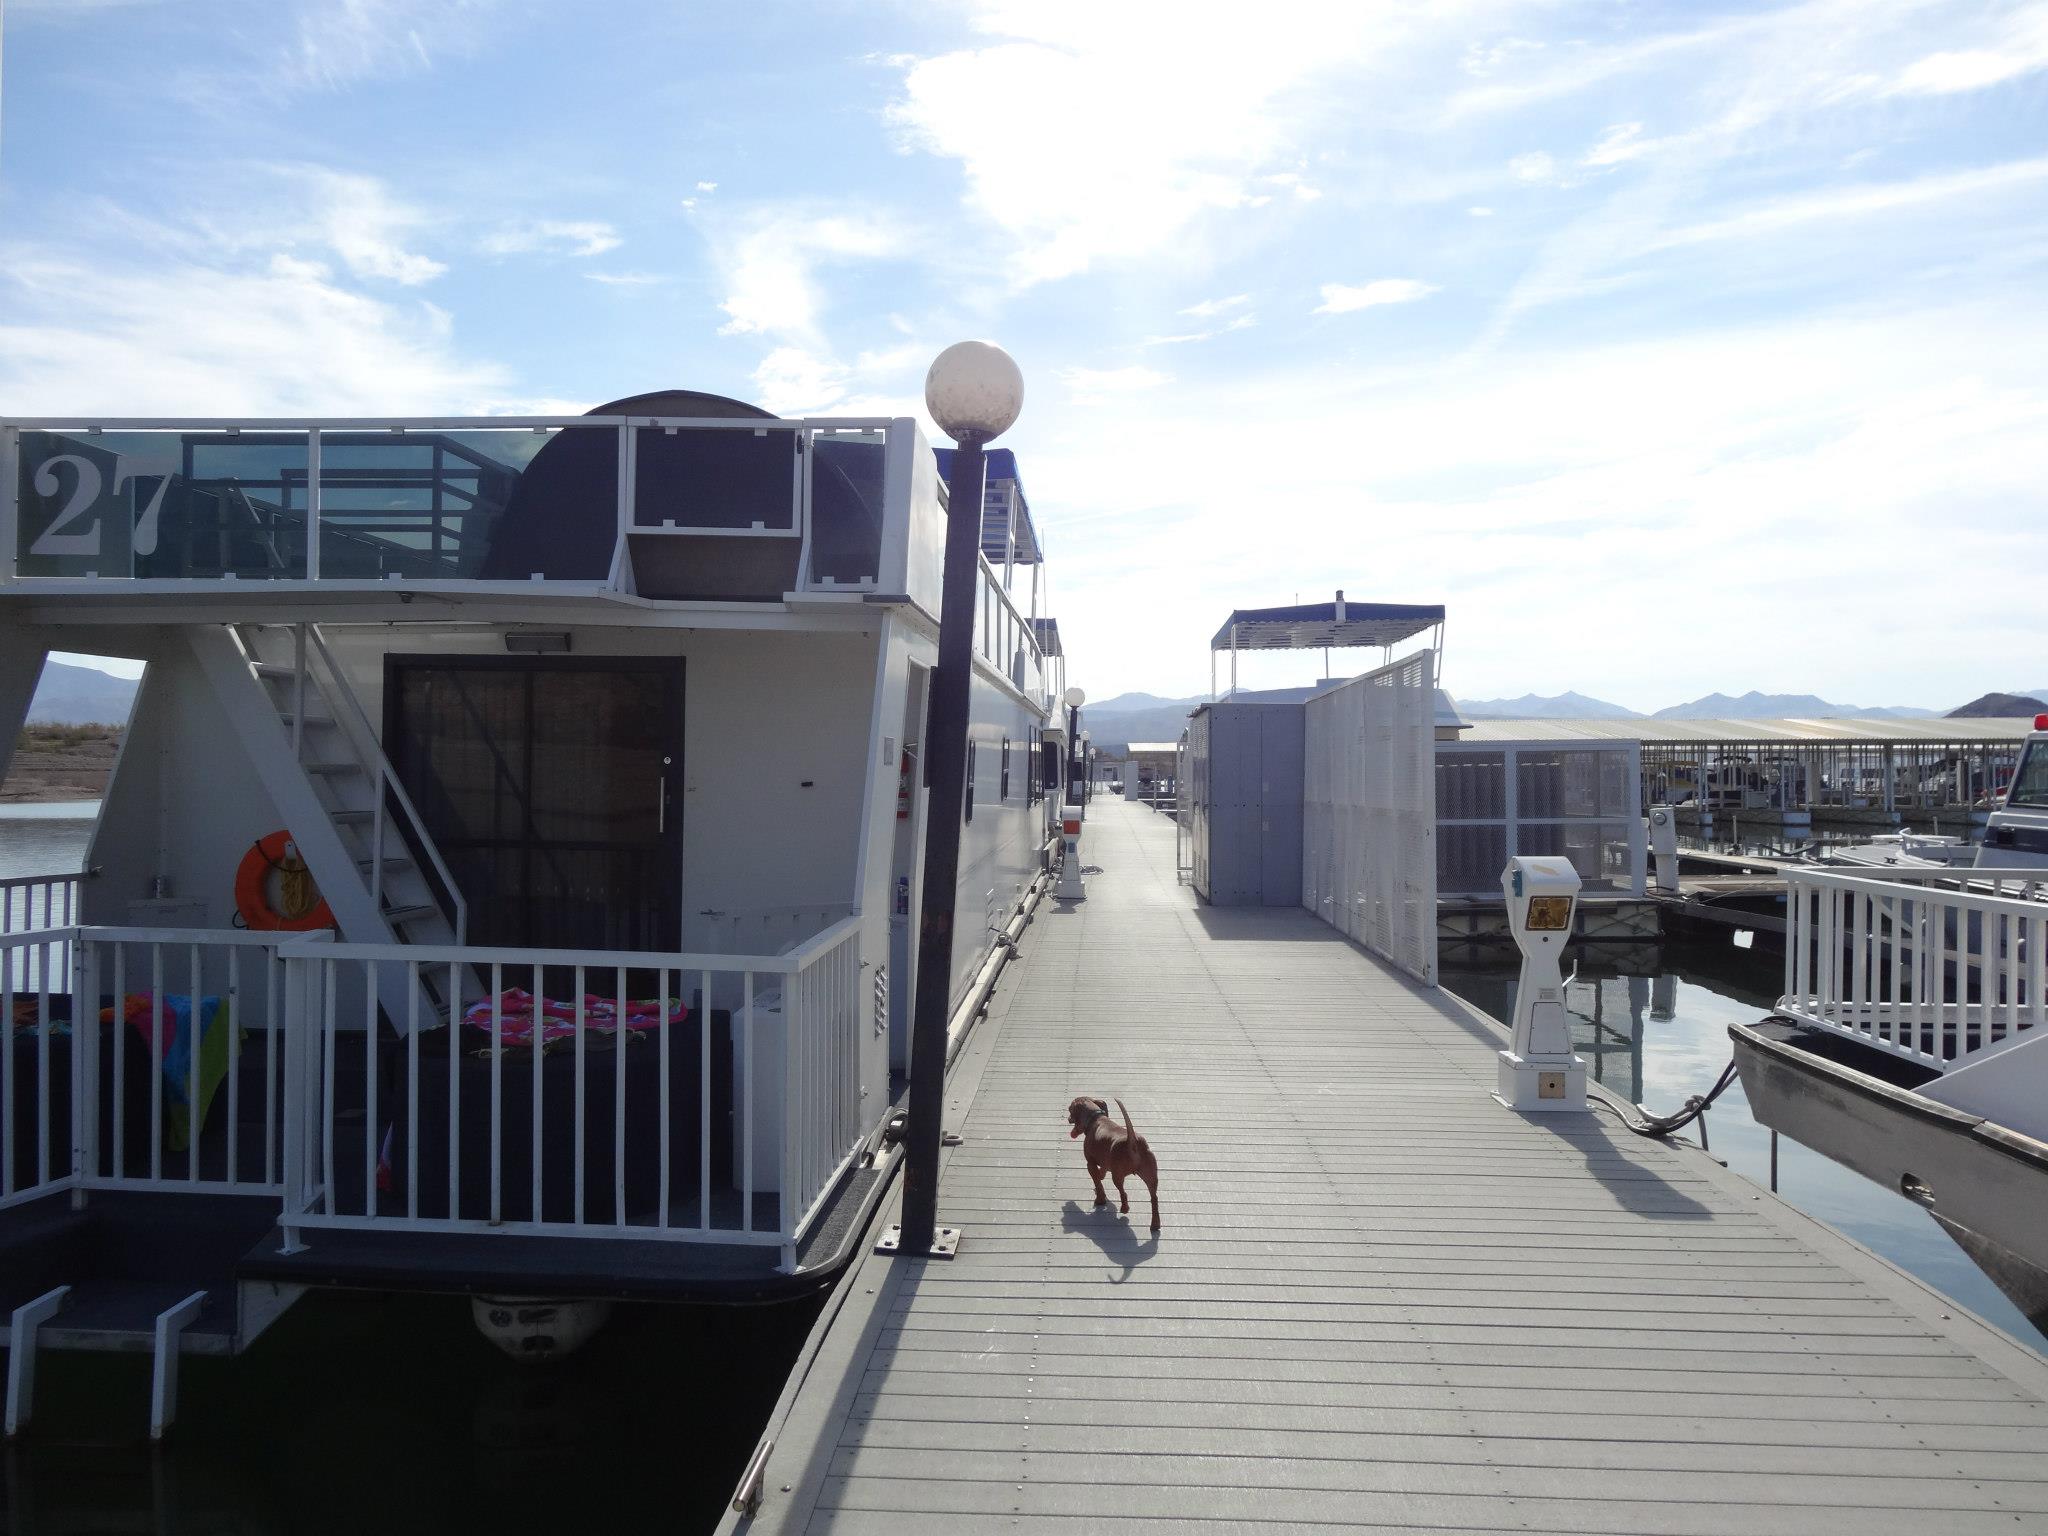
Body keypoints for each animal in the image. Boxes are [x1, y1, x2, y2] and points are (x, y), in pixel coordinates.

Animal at [1064, 1097, 1163, 1236]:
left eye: (1070, 1109)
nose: (1068, 1119)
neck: (1096, 1117)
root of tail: (1133, 1142)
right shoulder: (1105, 1162)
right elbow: (1101, 1174)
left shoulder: (1090, 1164)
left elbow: (1098, 1183)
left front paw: (1100, 1200)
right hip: (1152, 1178)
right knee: (1154, 1199)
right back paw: (1155, 1224)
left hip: (1117, 1176)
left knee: (1123, 1193)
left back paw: (1125, 1208)